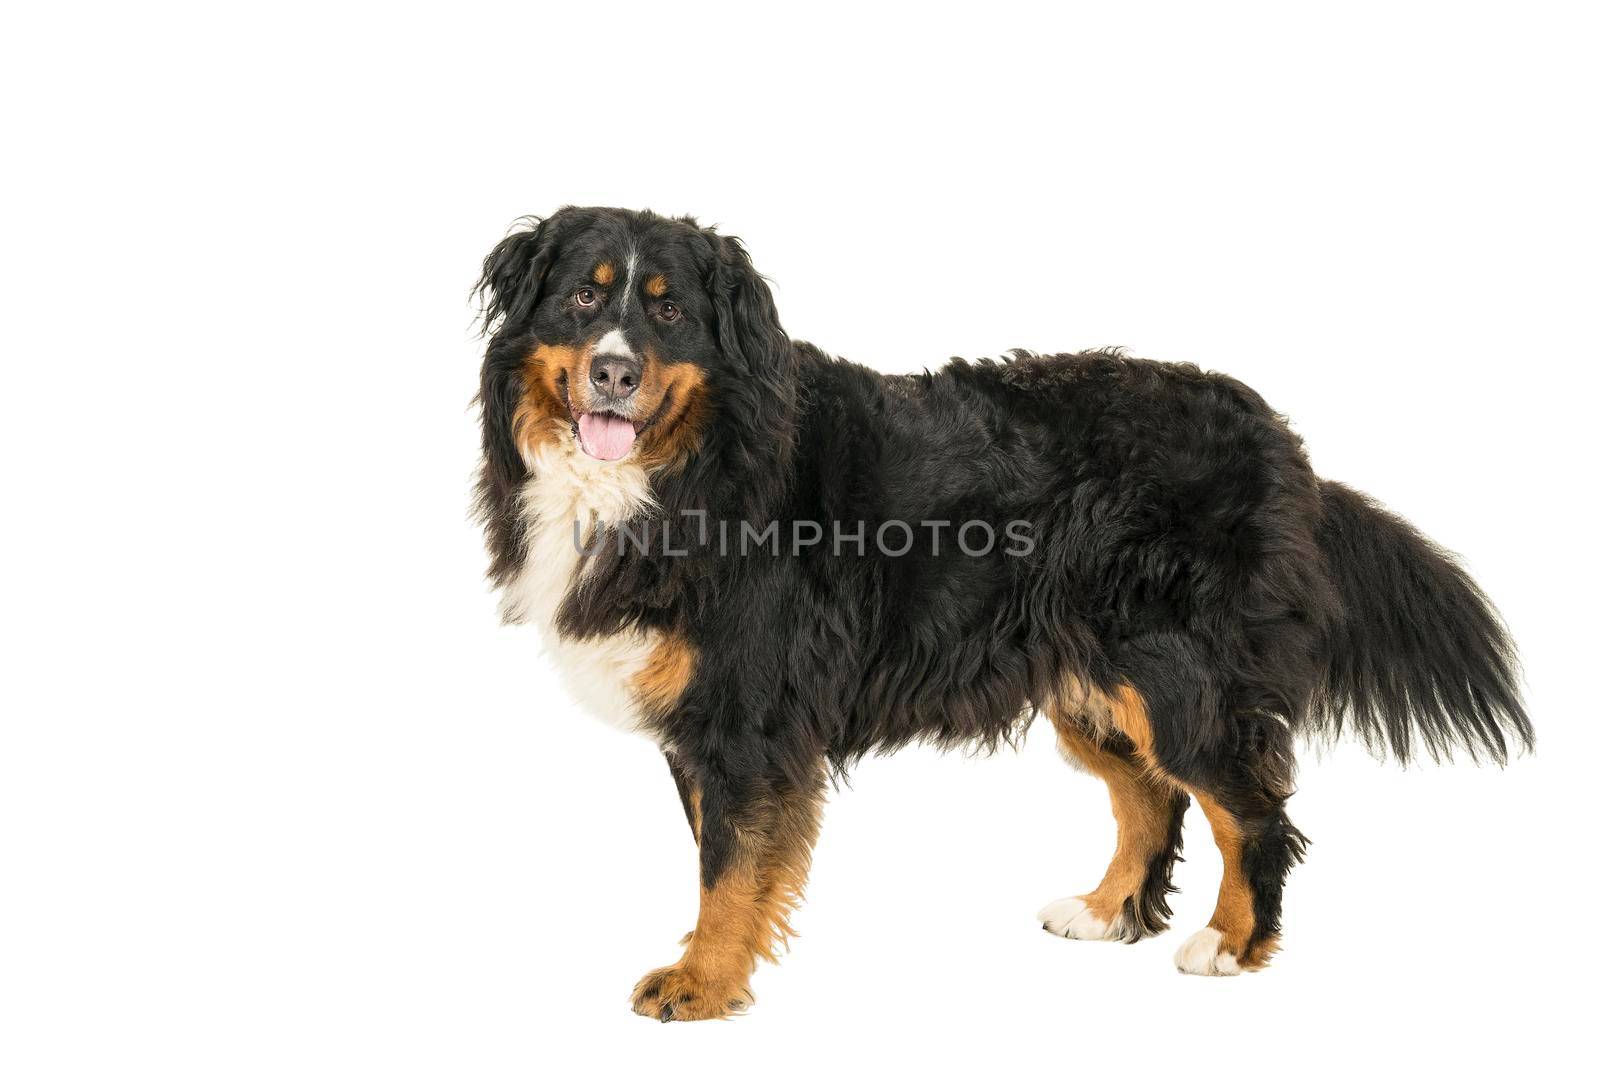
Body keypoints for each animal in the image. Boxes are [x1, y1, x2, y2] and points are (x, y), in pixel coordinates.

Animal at [467, 206, 1529, 1017]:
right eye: (583, 297)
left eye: (670, 310)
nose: (614, 371)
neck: (692, 465)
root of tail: (1279, 437)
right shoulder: (704, 725)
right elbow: (718, 858)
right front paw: (707, 961)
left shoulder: (747, 719)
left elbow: (731, 867)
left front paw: (701, 982)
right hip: (1095, 680)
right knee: (1152, 796)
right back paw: (1106, 910)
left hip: (1181, 674)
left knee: (1250, 809)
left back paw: (1230, 941)